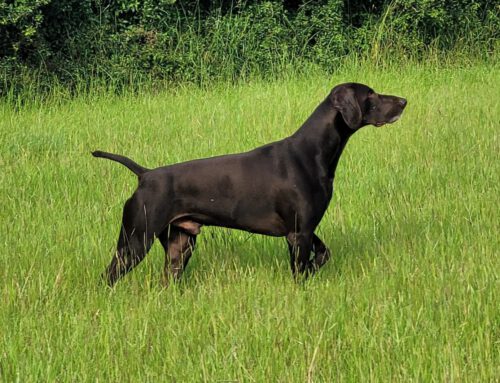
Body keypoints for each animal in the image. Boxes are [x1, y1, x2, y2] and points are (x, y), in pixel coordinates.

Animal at [93, 82, 406, 284]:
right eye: (371, 94)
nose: (403, 102)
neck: (311, 152)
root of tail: (145, 174)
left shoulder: (305, 228)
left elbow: (323, 254)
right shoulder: (298, 233)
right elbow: (301, 273)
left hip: (179, 245)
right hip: (134, 242)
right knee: (108, 276)